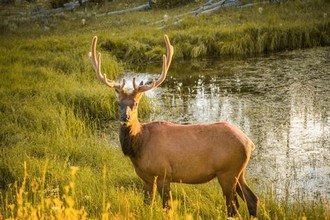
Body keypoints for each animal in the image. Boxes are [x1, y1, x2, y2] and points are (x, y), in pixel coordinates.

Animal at [89, 34, 258, 217]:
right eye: (118, 103)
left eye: (135, 104)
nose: (124, 117)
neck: (139, 145)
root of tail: (249, 143)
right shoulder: (146, 178)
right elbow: (147, 205)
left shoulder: (163, 174)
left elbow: (167, 208)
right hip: (239, 172)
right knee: (252, 199)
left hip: (227, 172)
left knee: (233, 206)